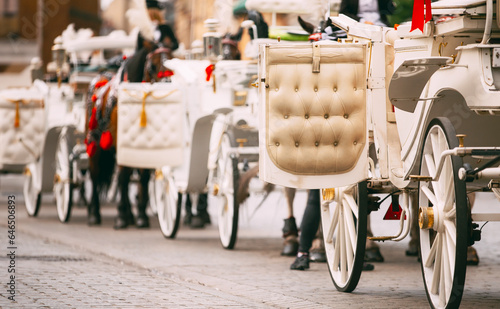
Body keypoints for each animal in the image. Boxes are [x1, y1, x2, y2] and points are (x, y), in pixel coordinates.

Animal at [84, 43, 174, 227]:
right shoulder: (122, 144)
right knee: (95, 174)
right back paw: (94, 212)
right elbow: (123, 176)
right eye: (152, 66)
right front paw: (121, 216)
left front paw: (141, 215)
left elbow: (143, 177)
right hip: (94, 142)